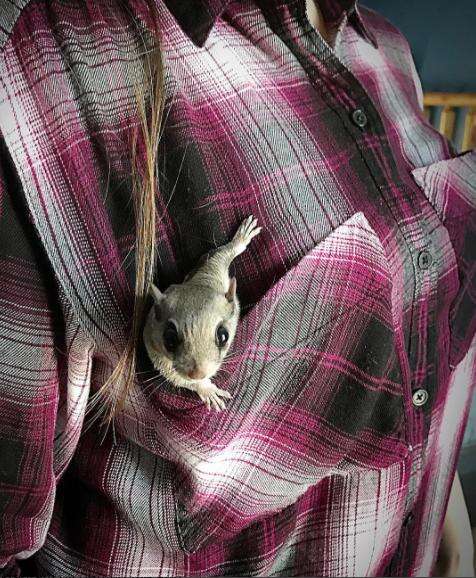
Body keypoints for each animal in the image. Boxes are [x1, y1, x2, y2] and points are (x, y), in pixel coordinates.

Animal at [143, 215, 262, 410]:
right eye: (169, 340)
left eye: (223, 336)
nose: (197, 374)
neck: (200, 284)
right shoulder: (154, 346)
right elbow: (173, 374)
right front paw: (206, 389)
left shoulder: (213, 268)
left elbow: (223, 253)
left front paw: (241, 238)